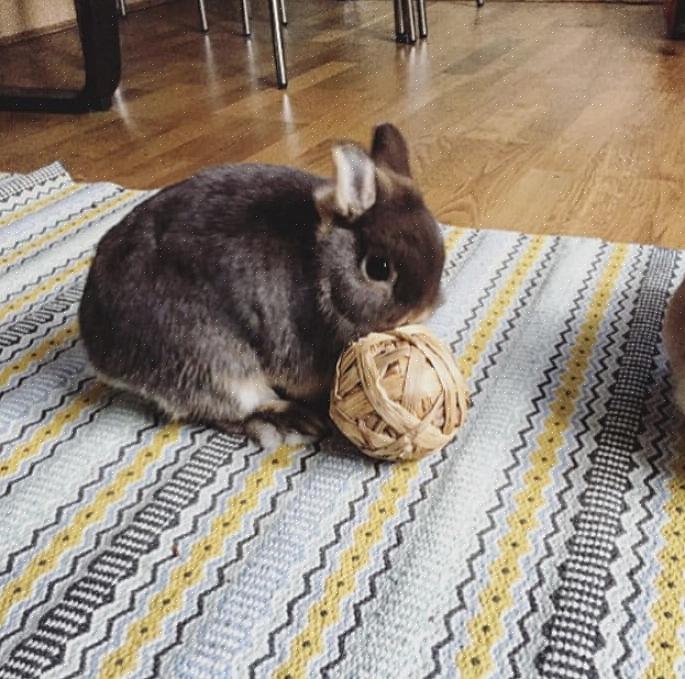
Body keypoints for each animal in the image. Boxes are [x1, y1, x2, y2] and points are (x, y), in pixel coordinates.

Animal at [79, 124, 444, 448]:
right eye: (378, 268)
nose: (423, 310)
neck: (319, 265)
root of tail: (99, 350)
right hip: (213, 361)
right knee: (226, 409)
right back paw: (291, 422)